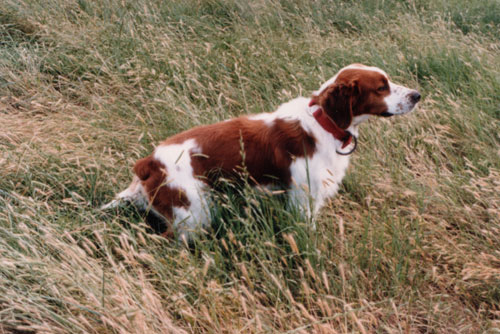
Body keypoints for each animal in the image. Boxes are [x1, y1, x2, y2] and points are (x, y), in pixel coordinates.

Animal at [102, 63, 422, 240]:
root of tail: (149, 161)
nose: (417, 95)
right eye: (381, 87)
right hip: (192, 216)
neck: (323, 123)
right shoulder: (303, 200)